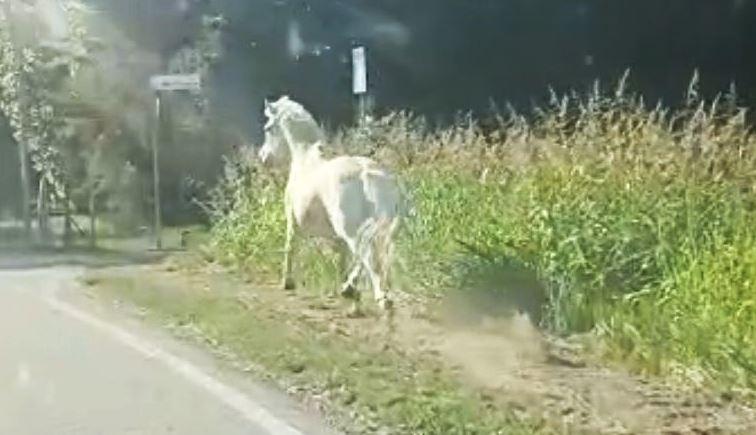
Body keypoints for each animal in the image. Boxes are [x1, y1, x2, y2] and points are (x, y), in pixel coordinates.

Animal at [257, 96, 402, 311]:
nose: (264, 157)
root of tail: (366, 173)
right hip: (372, 228)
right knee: (369, 254)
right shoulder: (337, 238)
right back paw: (352, 289)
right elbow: (342, 258)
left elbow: (290, 246)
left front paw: (287, 282)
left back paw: (379, 298)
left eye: (268, 128)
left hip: (350, 229)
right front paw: (346, 289)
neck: (305, 159)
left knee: (366, 254)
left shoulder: (293, 220)